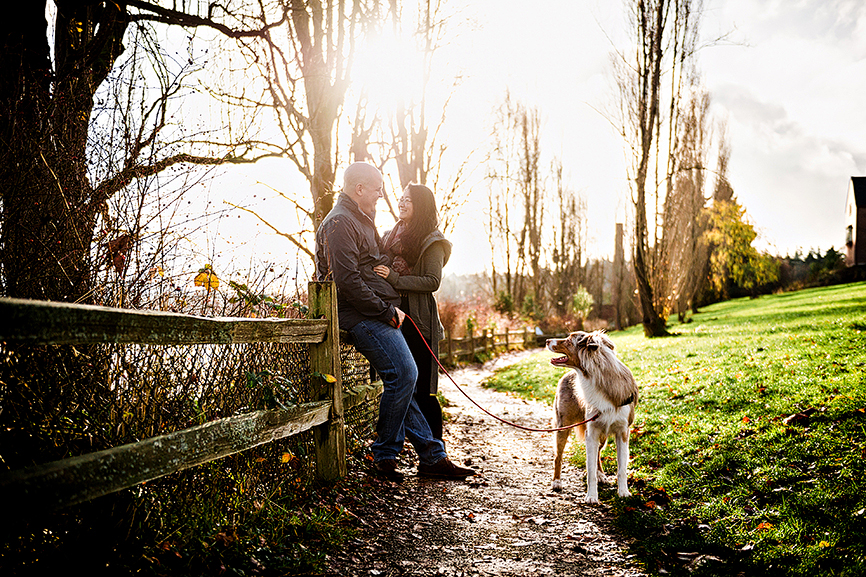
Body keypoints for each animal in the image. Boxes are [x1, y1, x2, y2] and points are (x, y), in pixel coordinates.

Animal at [544, 330, 636, 502]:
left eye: (568, 340)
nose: (546, 340)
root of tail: (568, 374)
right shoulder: (591, 432)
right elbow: (590, 469)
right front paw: (592, 496)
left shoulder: (622, 432)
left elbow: (622, 468)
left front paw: (623, 492)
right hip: (563, 426)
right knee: (558, 456)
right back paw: (557, 482)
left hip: (602, 434)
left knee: (598, 453)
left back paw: (601, 474)